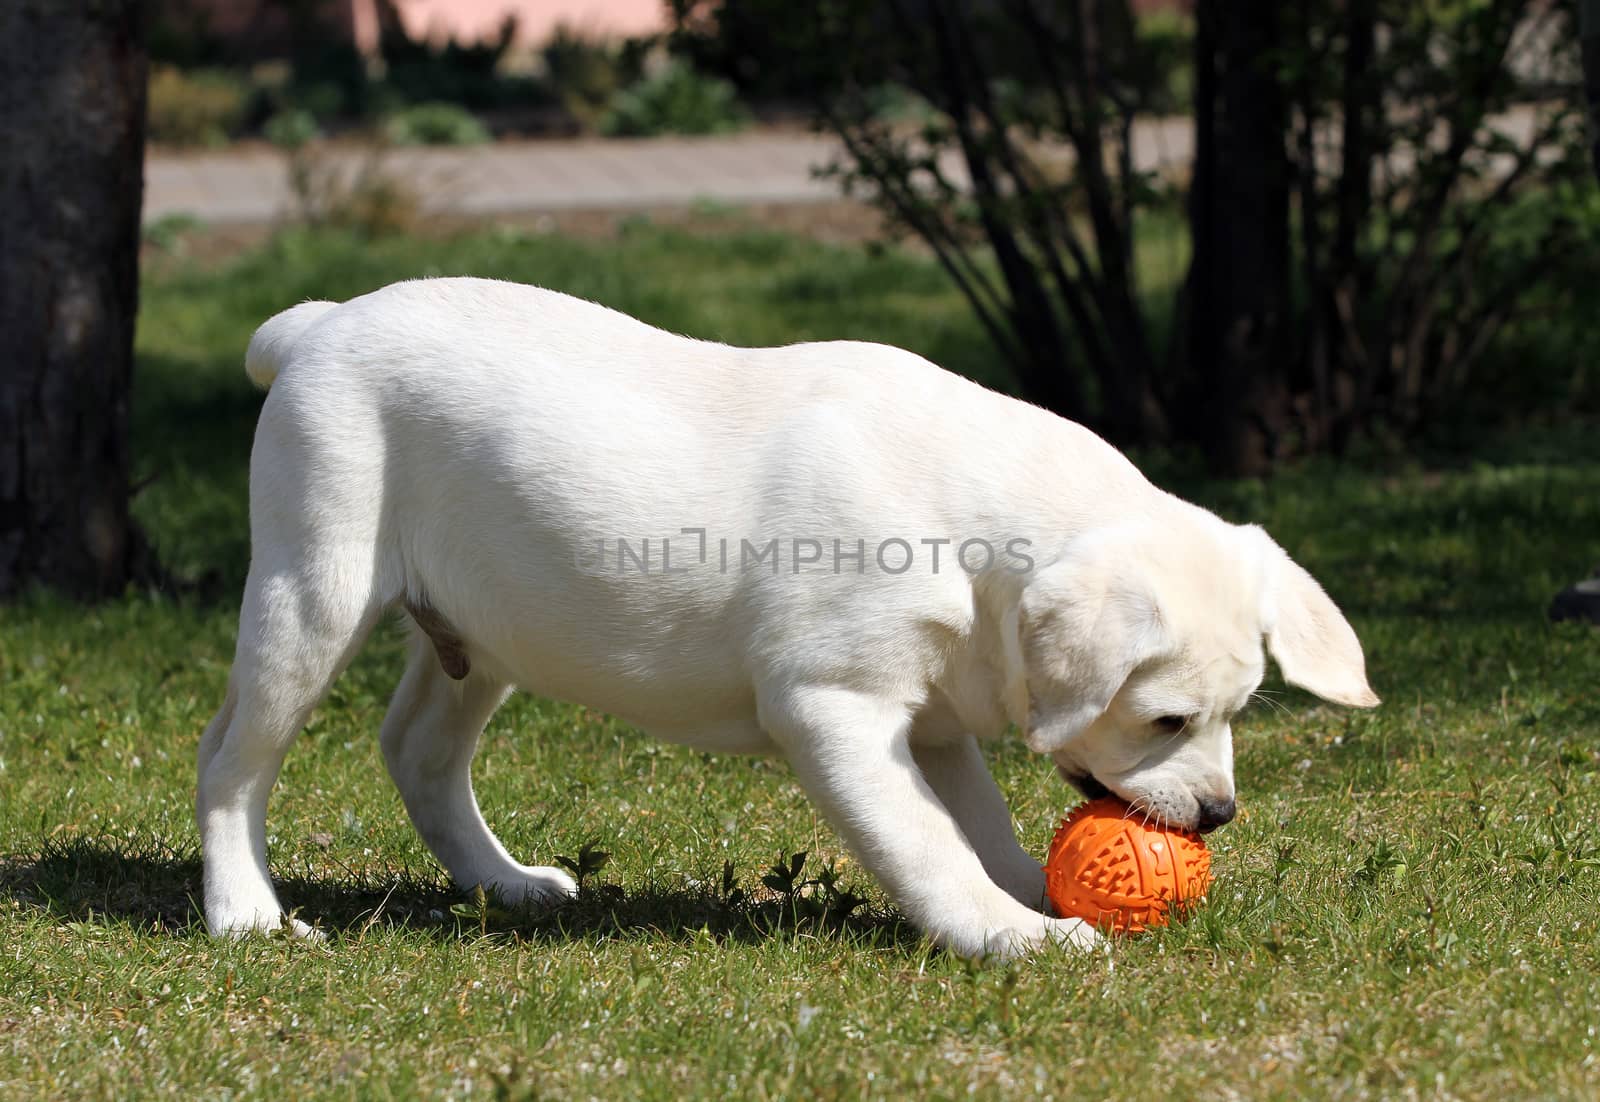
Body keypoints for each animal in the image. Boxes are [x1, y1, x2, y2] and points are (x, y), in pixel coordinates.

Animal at [196, 275, 1376, 953]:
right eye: (1167, 720)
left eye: (1239, 712)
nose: (1218, 815)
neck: (969, 528)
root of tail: (318, 325)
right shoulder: (834, 707)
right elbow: (925, 843)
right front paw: (1012, 934)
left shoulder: (931, 720)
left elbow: (977, 823)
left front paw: (1028, 895)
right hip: (313, 592)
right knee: (232, 758)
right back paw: (244, 911)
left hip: (480, 635)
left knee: (418, 751)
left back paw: (506, 884)